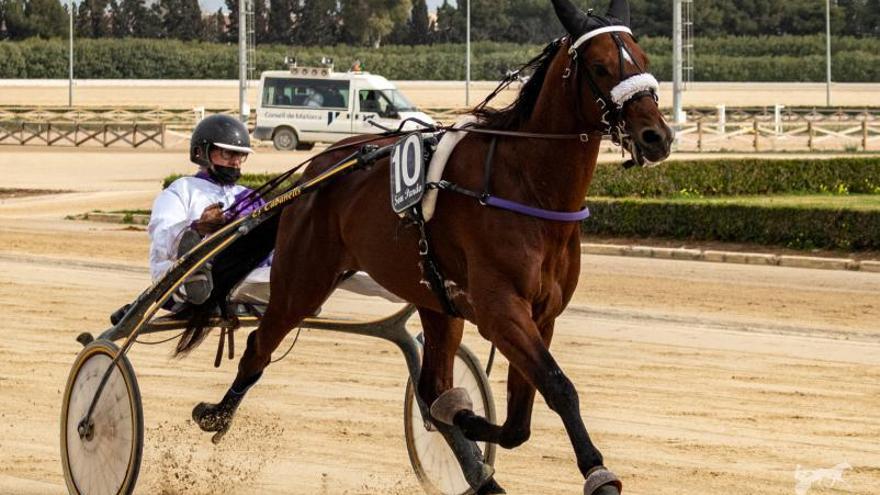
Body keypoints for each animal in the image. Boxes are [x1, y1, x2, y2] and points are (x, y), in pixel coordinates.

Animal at [186, 1, 672, 494]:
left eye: (645, 61)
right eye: (600, 66)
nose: (657, 136)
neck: (529, 190)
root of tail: (315, 172)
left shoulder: (542, 315)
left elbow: (518, 419)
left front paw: (466, 419)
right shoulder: (501, 309)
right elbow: (558, 386)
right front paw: (598, 472)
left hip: (435, 301)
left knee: (432, 383)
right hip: (303, 279)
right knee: (258, 344)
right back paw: (216, 414)